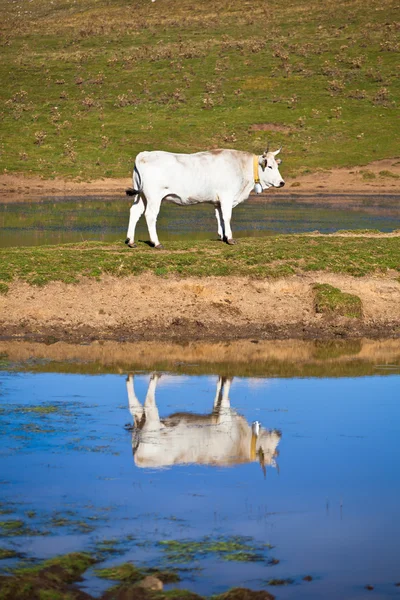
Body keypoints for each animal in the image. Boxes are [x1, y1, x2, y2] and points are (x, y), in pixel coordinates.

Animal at [125, 148, 284, 248]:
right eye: (269, 166)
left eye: (277, 165)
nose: (282, 183)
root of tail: (144, 154)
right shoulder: (227, 196)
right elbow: (227, 217)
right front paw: (230, 238)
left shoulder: (218, 201)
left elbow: (220, 217)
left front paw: (222, 236)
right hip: (153, 197)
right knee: (150, 216)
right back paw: (156, 242)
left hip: (141, 195)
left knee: (134, 212)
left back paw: (130, 241)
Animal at [126, 376, 282, 474]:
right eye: (270, 451)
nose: (279, 433)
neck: (242, 440)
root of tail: (138, 460)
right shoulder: (225, 418)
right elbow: (226, 392)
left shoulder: (216, 413)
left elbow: (219, 391)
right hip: (152, 421)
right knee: (149, 398)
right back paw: (155, 376)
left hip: (141, 420)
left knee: (133, 405)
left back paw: (130, 377)